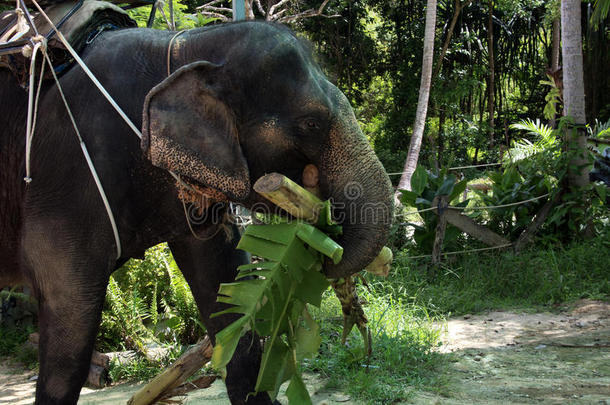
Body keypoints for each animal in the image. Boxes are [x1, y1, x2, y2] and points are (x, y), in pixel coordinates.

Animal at [0, 21, 390, 404]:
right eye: (311, 123)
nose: (329, 245)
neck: (184, 48)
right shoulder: (67, 177)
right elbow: (70, 316)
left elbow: (228, 289)